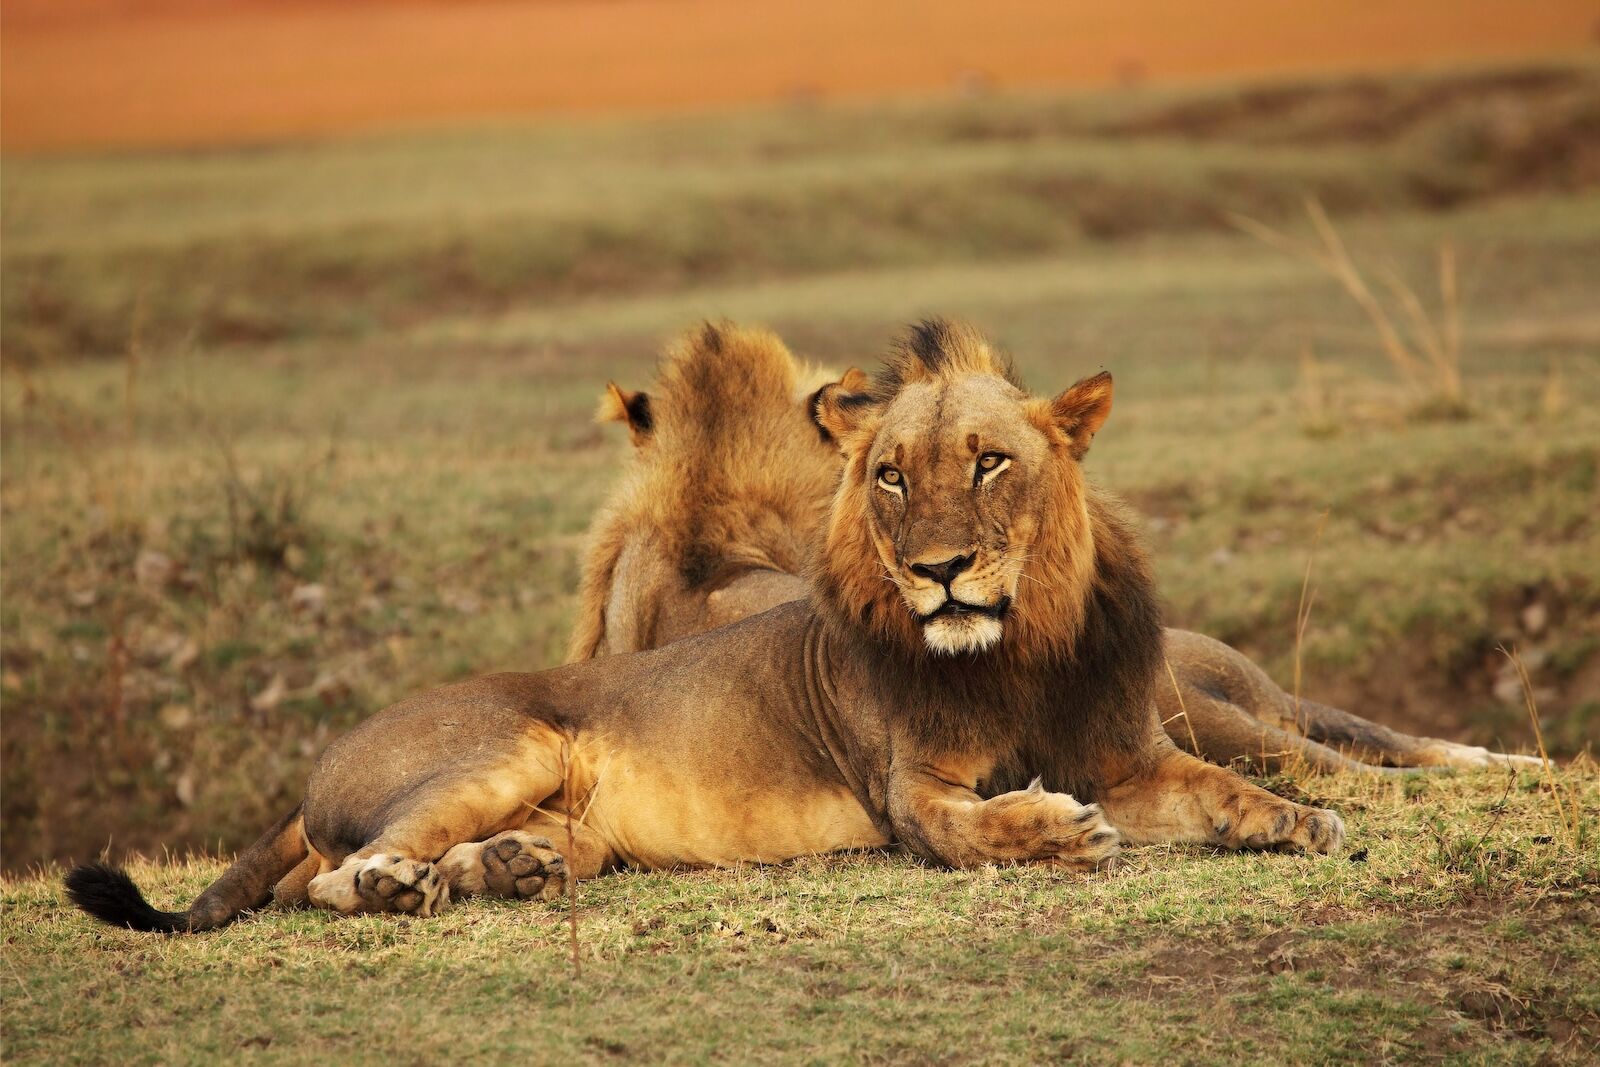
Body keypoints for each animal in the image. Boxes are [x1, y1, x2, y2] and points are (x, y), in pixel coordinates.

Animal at [67, 318, 1343, 932]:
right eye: (889, 474)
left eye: (989, 460)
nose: (935, 571)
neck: (1020, 644)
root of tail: (311, 769)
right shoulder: (910, 789)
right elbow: (980, 827)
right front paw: (1059, 832)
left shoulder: (1128, 753)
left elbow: (1224, 788)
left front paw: (1298, 819)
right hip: (511, 742)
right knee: (336, 876)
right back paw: (401, 886)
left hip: (575, 823)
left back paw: (507, 868)